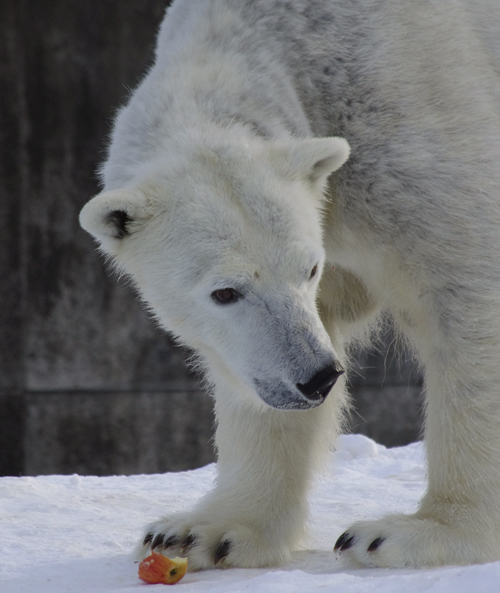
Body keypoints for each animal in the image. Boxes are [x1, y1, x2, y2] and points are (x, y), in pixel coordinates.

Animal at [78, 0, 500, 568]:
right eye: (225, 292)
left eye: (308, 269)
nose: (317, 377)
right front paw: (202, 531)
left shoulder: (406, 130)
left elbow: (465, 286)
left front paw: (418, 533)